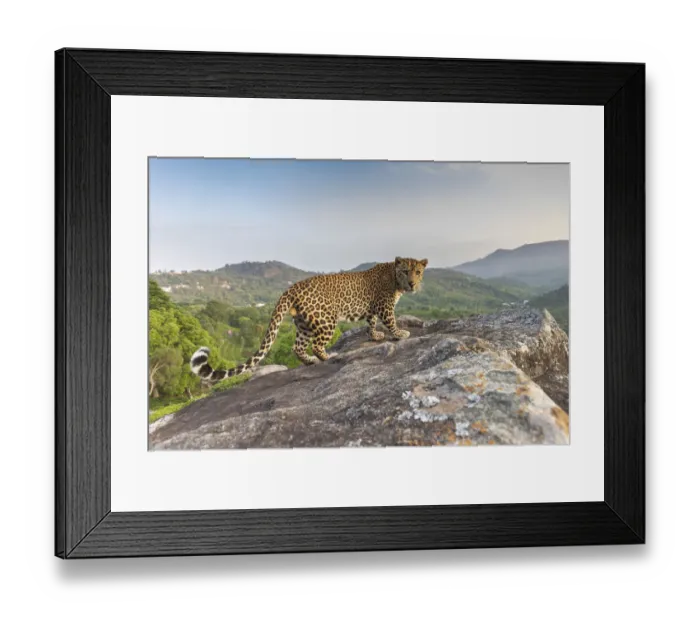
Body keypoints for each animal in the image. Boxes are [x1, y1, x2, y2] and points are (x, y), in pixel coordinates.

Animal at [190, 257, 428, 383]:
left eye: (418, 272)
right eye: (405, 271)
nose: (412, 284)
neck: (394, 279)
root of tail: (291, 288)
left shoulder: (372, 309)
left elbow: (370, 322)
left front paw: (376, 335)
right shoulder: (384, 306)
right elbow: (391, 321)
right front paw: (400, 333)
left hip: (303, 323)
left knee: (297, 347)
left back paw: (311, 362)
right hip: (326, 320)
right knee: (316, 344)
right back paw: (327, 357)